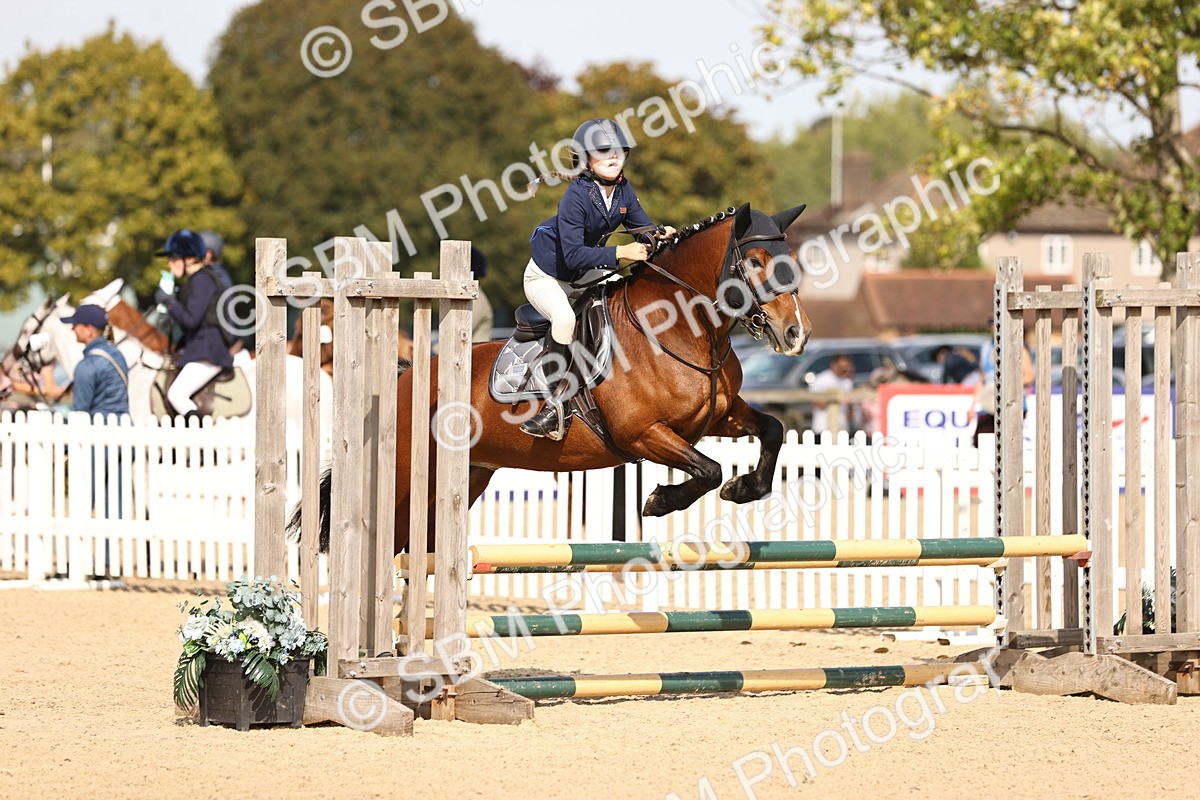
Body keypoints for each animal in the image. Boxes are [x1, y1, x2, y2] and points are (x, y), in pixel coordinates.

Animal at [306, 202, 812, 556]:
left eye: (792, 258)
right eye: (756, 260)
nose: (797, 334)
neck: (681, 330)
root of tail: (403, 377)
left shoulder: (717, 418)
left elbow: (772, 430)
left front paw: (742, 489)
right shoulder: (641, 433)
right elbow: (708, 469)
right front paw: (659, 502)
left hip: (465, 479)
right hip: (404, 483)